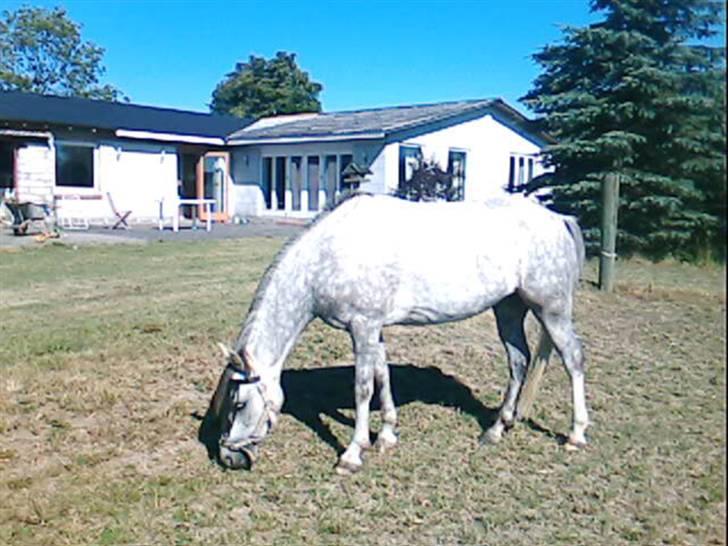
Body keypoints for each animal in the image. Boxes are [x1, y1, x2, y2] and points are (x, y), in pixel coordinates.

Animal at [207, 192, 588, 474]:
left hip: (551, 309)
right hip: (508, 308)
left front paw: (352, 453)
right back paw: (496, 429)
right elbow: (382, 376)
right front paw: (387, 435)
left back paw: (576, 435)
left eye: (239, 403)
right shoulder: (374, 329)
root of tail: (559, 218)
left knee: (572, 359)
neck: (327, 255)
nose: (228, 457)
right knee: (519, 362)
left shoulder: (362, 327)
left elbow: (362, 387)